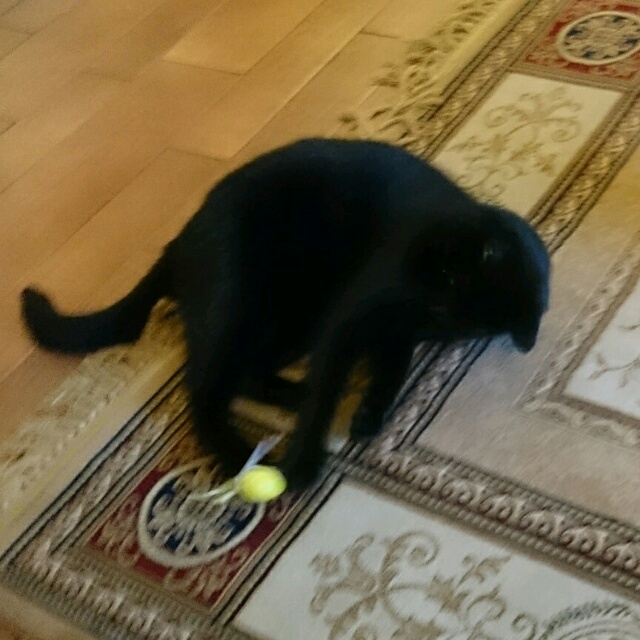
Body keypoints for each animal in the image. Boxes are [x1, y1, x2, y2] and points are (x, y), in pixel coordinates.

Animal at [21, 137, 551, 489]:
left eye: (457, 302)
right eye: (449, 275)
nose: (429, 299)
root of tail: (179, 242)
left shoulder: (397, 332)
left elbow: (391, 372)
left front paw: (368, 415)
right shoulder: (354, 316)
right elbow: (333, 386)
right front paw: (303, 463)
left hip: (292, 318)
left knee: (247, 374)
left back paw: (291, 395)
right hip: (244, 305)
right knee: (204, 389)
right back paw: (239, 453)